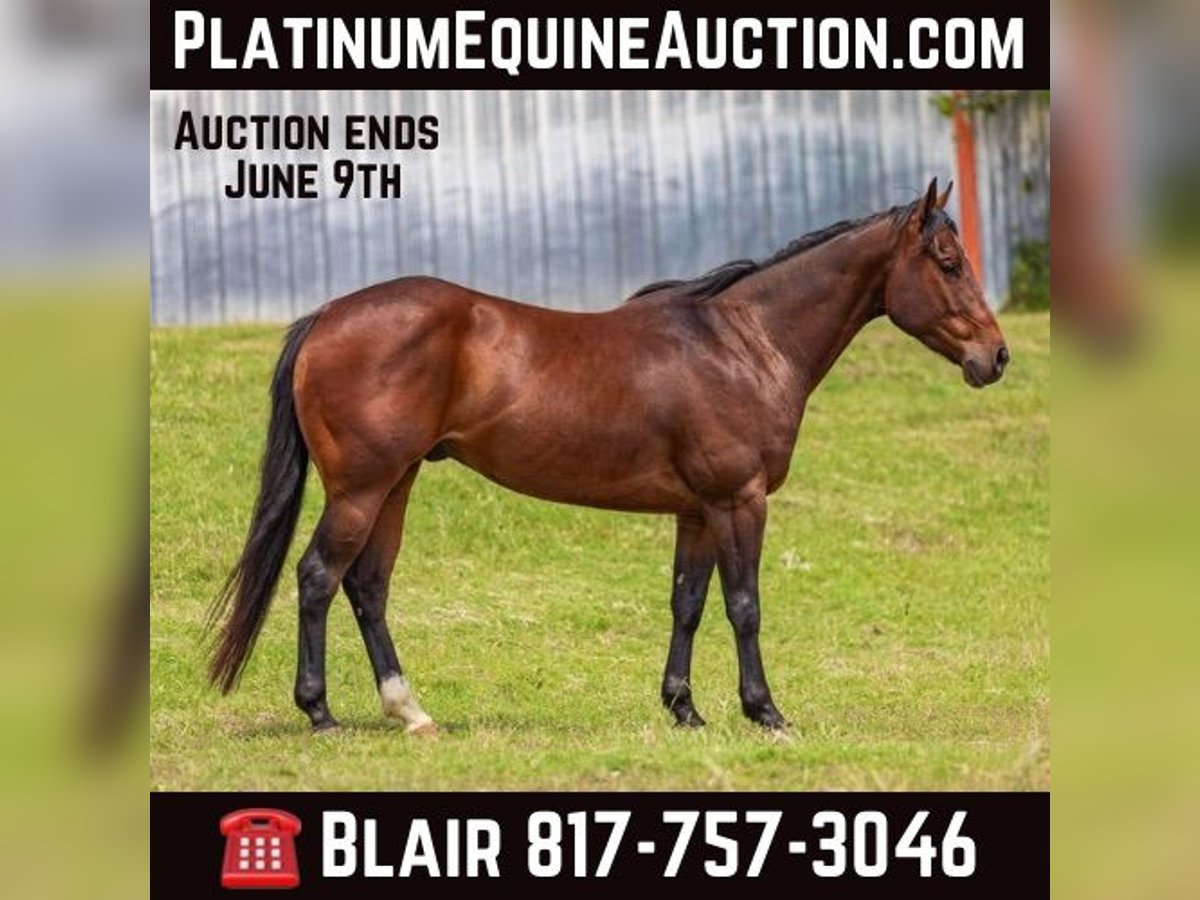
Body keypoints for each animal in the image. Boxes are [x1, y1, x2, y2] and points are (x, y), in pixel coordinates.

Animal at [208, 181, 1012, 734]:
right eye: (947, 262)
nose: (995, 357)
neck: (744, 344)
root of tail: (326, 317)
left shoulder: (697, 511)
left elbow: (688, 604)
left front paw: (683, 708)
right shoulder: (739, 501)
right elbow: (744, 606)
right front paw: (765, 711)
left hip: (396, 483)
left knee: (367, 585)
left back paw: (410, 711)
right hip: (361, 487)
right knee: (319, 577)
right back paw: (321, 713)